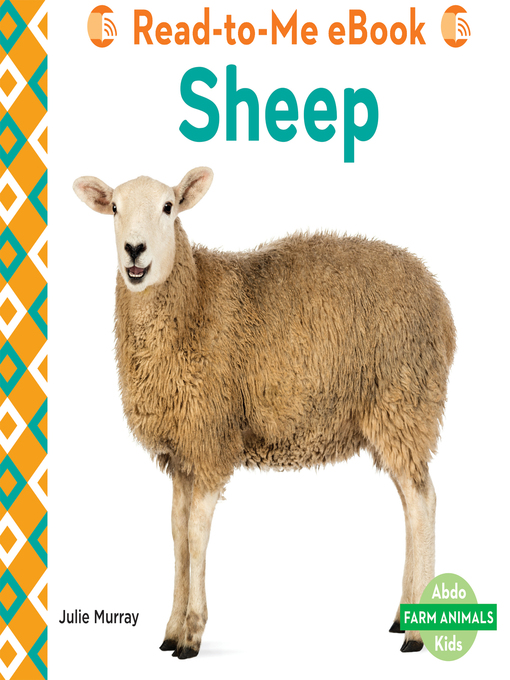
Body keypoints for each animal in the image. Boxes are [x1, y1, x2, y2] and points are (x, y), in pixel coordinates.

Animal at [73, 167, 456, 660]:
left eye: (168, 207)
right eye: (115, 208)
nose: (134, 250)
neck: (193, 301)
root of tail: (437, 295)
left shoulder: (212, 438)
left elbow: (196, 534)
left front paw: (191, 634)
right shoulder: (183, 451)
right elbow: (177, 535)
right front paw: (172, 628)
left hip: (405, 401)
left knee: (423, 502)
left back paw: (417, 635)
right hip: (393, 416)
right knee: (410, 504)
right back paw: (403, 617)